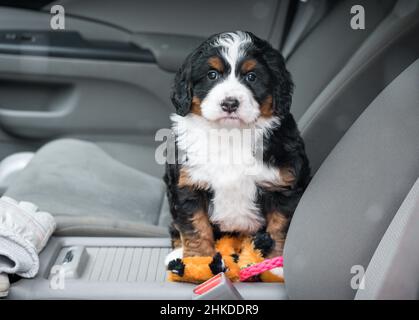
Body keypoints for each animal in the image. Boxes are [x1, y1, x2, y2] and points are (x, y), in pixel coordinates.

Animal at [164, 31, 312, 268]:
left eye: (251, 77)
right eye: (212, 75)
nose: (230, 103)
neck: (231, 135)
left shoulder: (285, 186)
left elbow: (279, 228)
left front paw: (273, 263)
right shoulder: (187, 184)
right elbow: (196, 227)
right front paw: (199, 262)